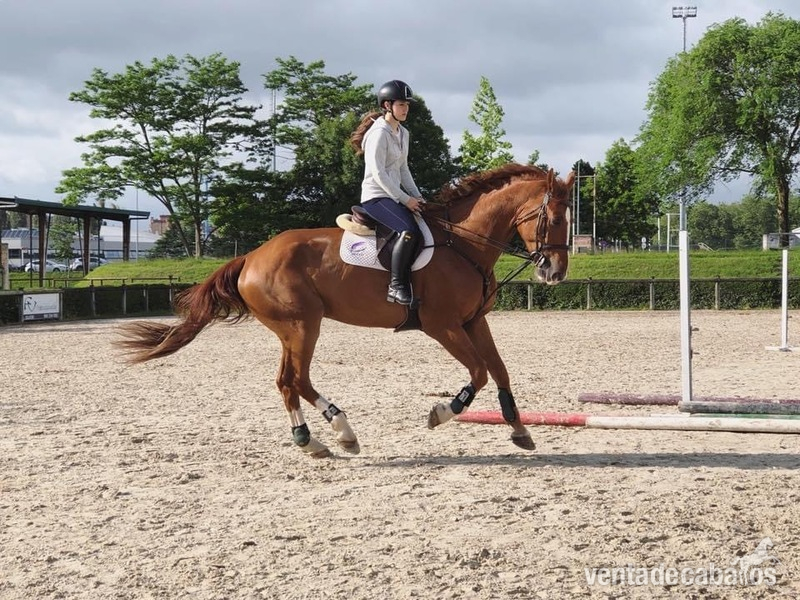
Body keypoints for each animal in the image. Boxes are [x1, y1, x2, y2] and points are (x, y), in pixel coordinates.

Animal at [118, 163, 575, 458]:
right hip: (303, 326)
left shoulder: (473, 321)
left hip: (291, 330)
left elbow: (499, 371)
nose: (554, 272)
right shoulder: (442, 325)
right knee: (297, 379)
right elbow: (478, 372)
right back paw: (341, 432)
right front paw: (442, 413)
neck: (462, 244)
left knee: (287, 382)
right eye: (552, 219)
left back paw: (313, 441)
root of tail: (250, 257)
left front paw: (519, 429)